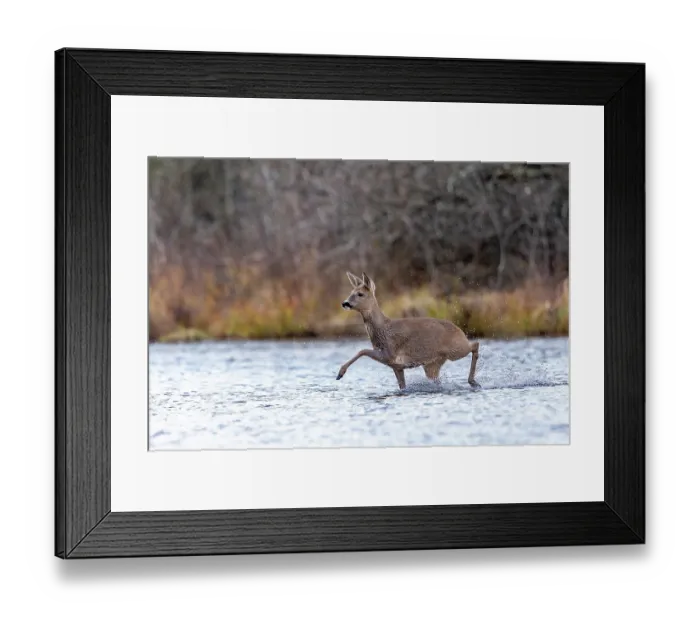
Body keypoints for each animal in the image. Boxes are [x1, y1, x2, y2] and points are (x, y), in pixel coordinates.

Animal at [336, 271, 481, 390]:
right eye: (350, 293)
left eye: (360, 294)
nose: (345, 303)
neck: (383, 330)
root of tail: (459, 330)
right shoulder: (396, 366)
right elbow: (402, 386)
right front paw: (339, 373)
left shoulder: (390, 354)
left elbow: (362, 350)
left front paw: (340, 373)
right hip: (432, 364)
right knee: (437, 379)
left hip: (455, 349)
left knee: (475, 344)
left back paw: (473, 382)